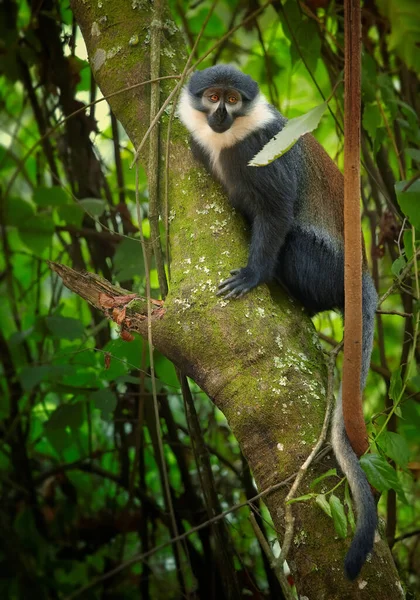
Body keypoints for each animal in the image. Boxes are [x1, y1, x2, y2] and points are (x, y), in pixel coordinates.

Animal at [177, 63, 378, 580]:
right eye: (212, 96)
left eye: (232, 99)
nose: (221, 114)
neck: (230, 140)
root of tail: (363, 275)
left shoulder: (263, 151)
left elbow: (276, 213)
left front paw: (253, 275)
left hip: (325, 269)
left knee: (291, 245)